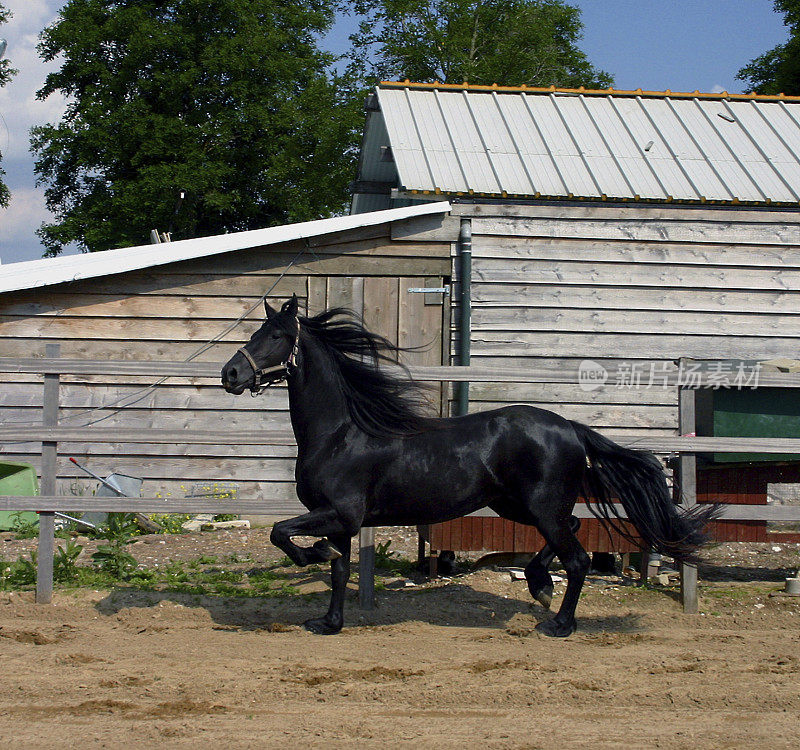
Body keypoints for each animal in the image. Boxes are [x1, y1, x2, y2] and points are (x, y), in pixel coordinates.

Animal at [222, 296, 716, 636]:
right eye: (258, 331)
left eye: (276, 336)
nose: (230, 374)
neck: (341, 432)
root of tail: (571, 429)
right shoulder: (340, 520)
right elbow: (339, 570)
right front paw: (328, 622)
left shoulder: (340, 513)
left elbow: (281, 533)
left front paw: (314, 556)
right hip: (517, 506)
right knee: (573, 531)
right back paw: (539, 585)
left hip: (540, 507)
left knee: (576, 558)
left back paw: (558, 624)